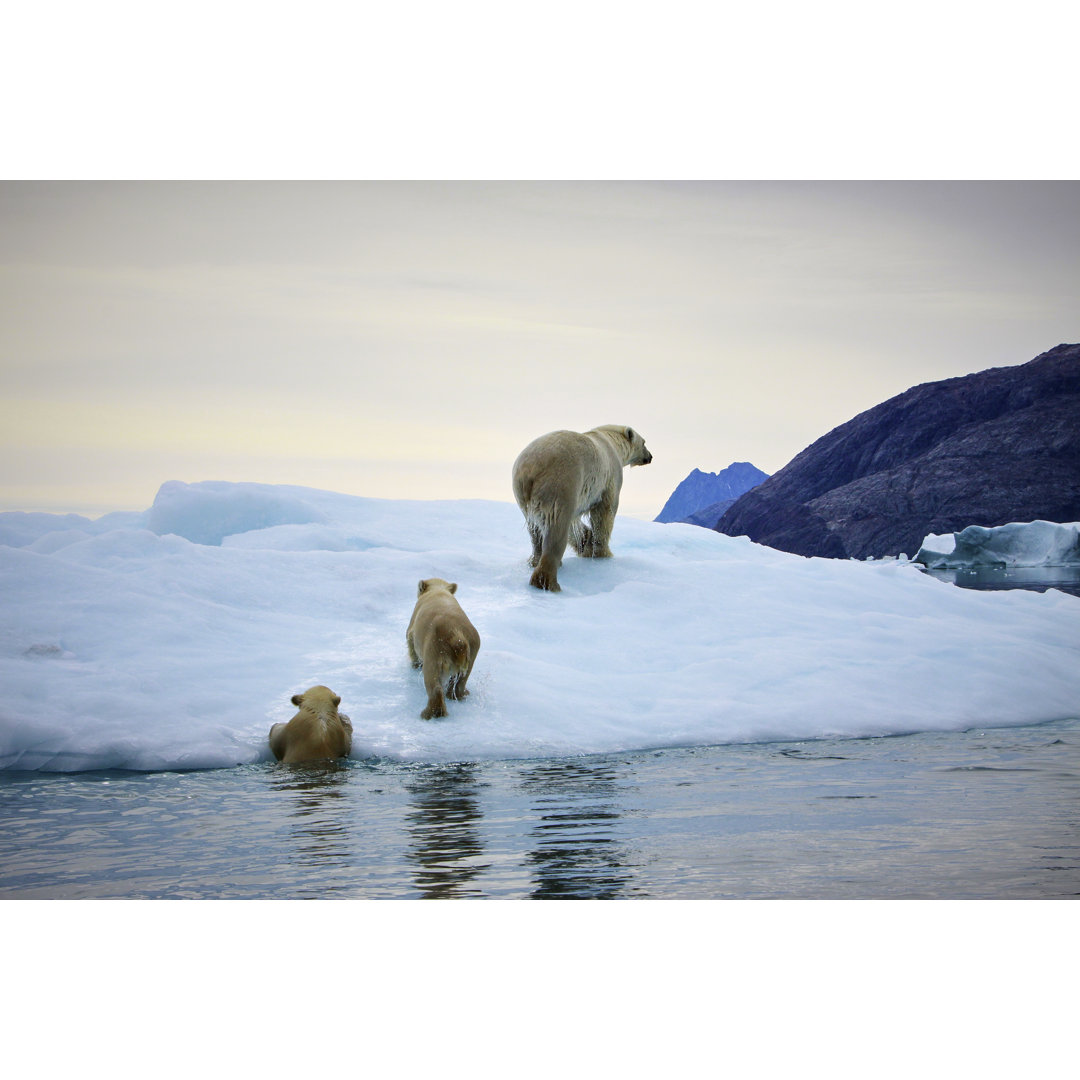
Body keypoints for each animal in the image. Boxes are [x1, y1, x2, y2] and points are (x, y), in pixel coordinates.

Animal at [406, 578, 481, 721]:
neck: (438, 590)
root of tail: (457, 636)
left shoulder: (414, 624)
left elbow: (410, 641)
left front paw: (415, 665)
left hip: (435, 648)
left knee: (433, 680)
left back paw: (428, 713)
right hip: (473, 646)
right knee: (461, 680)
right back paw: (460, 694)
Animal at [511, 423, 652, 591]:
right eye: (644, 442)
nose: (650, 456)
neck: (612, 441)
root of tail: (530, 470)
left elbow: (575, 524)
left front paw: (587, 542)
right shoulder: (609, 478)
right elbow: (605, 513)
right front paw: (603, 554)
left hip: (523, 497)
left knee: (535, 530)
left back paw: (535, 561)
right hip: (560, 484)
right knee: (556, 528)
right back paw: (548, 581)